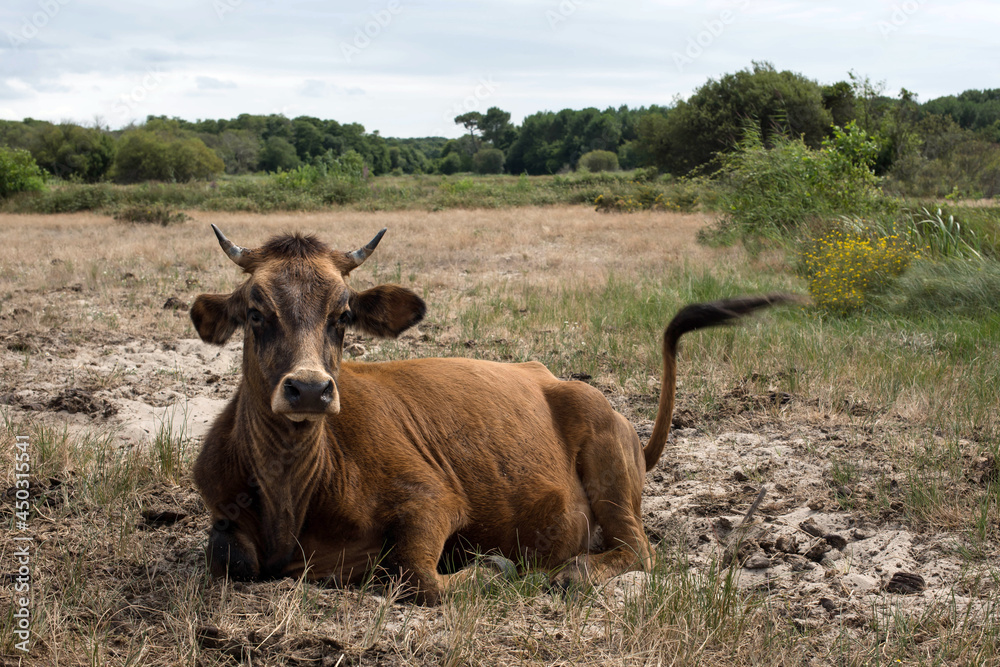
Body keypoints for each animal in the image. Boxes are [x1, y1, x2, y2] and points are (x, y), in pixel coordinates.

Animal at [190, 225, 791, 604]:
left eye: (343, 315)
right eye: (255, 312)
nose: (310, 390)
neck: (291, 492)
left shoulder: (433, 499)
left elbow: (417, 576)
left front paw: (494, 569)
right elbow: (228, 556)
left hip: (611, 477)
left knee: (635, 550)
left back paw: (569, 572)